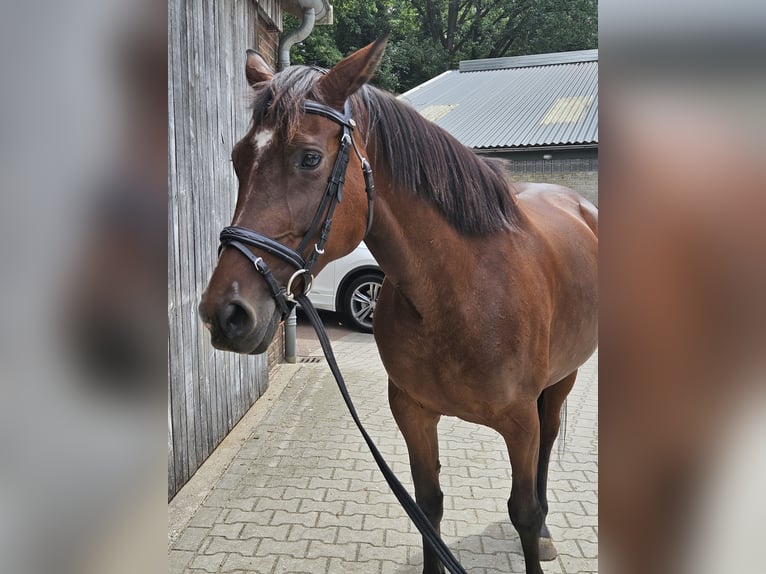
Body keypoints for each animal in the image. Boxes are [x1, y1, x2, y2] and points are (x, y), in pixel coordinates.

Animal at [198, 38, 598, 574]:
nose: (226, 313)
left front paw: (538, 532)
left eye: (309, 158)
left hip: (561, 383)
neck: (460, 295)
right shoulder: (412, 412)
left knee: (548, 445)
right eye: (239, 159)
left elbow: (524, 513)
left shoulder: (520, 424)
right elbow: (427, 508)